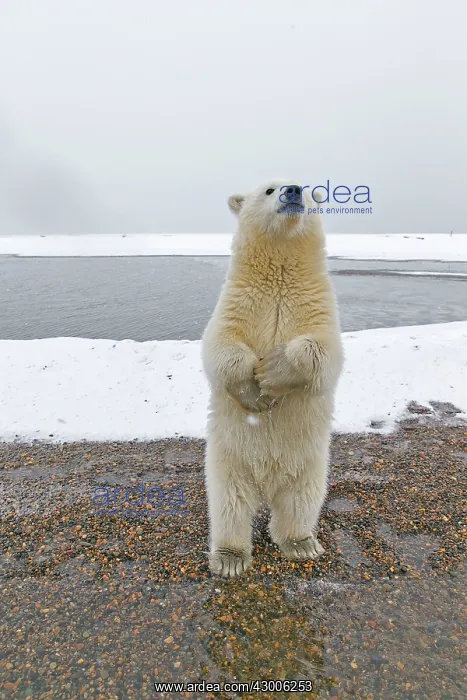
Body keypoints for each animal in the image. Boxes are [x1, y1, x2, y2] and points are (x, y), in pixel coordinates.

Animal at [201, 180, 343, 577]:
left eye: (308, 190)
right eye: (268, 189)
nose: (292, 191)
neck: (279, 273)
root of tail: (266, 485)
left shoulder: (318, 306)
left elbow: (323, 353)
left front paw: (273, 370)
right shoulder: (238, 303)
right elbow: (221, 347)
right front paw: (255, 391)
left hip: (311, 464)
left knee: (301, 502)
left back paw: (302, 543)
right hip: (228, 460)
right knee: (229, 504)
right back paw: (230, 557)